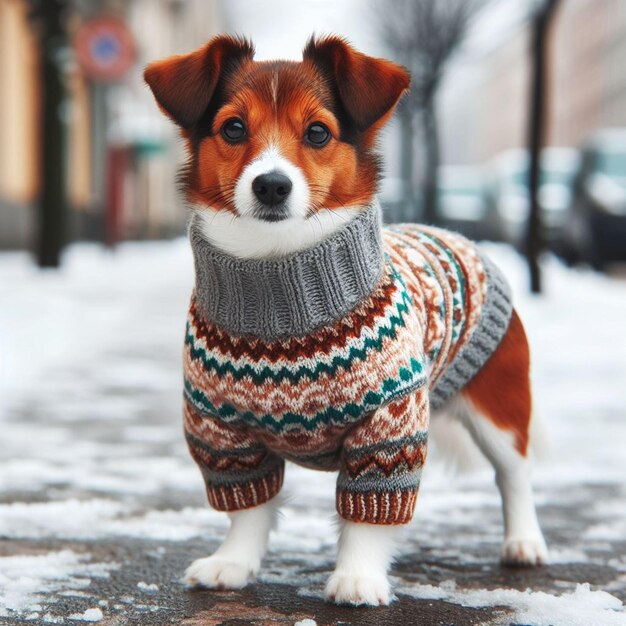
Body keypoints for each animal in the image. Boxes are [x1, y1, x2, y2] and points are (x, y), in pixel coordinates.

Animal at [144, 34, 544, 604]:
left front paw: (358, 575)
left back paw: (524, 541)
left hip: (500, 404)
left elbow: (371, 507)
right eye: (233, 128)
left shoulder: (391, 421)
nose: (271, 185)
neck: (280, 290)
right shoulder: (218, 429)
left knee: (514, 475)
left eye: (317, 132)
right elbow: (248, 506)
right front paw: (233, 562)